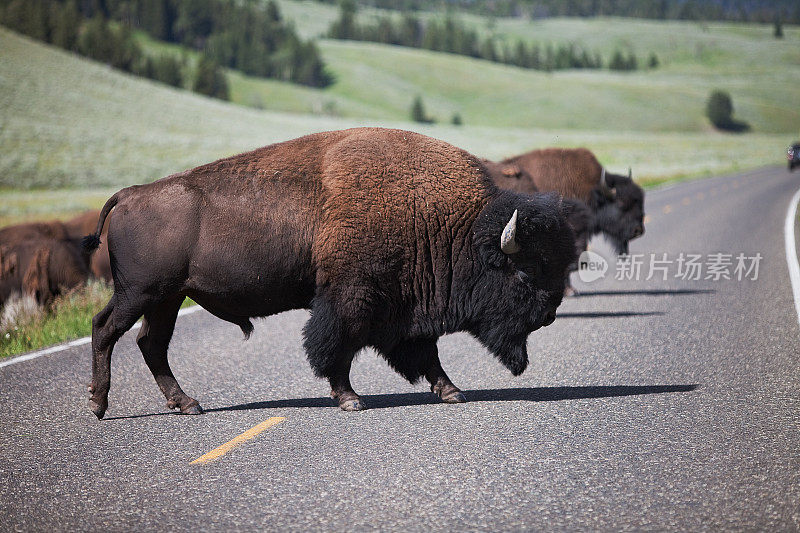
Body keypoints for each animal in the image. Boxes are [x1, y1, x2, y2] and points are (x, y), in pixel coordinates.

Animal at [84, 127, 580, 418]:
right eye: (525, 273)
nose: (550, 314)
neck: (446, 221)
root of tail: (131, 194)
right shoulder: (352, 298)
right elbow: (338, 347)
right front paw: (350, 400)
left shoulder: (405, 308)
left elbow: (425, 353)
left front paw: (452, 391)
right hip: (141, 293)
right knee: (107, 329)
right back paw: (99, 405)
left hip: (166, 298)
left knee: (150, 344)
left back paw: (186, 405)